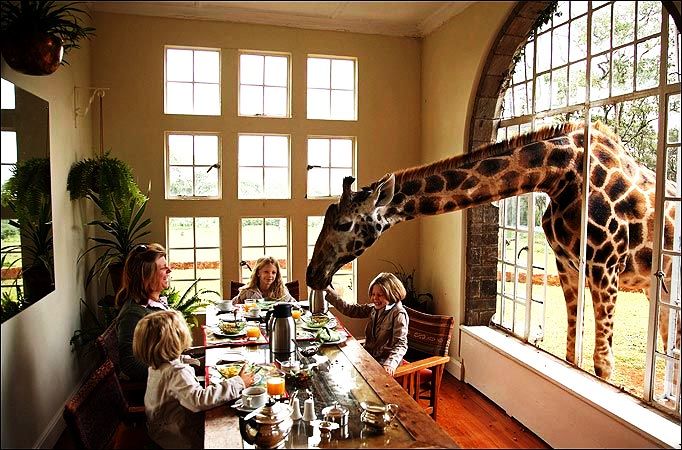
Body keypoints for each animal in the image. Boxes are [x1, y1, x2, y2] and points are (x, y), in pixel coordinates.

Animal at [306, 121, 679, 380]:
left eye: (344, 224)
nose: (312, 275)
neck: (561, 175)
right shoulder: (568, 267)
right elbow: (572, 349)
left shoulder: (605, 267)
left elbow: (602, 364)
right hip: (659, 289)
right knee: (668, 341)